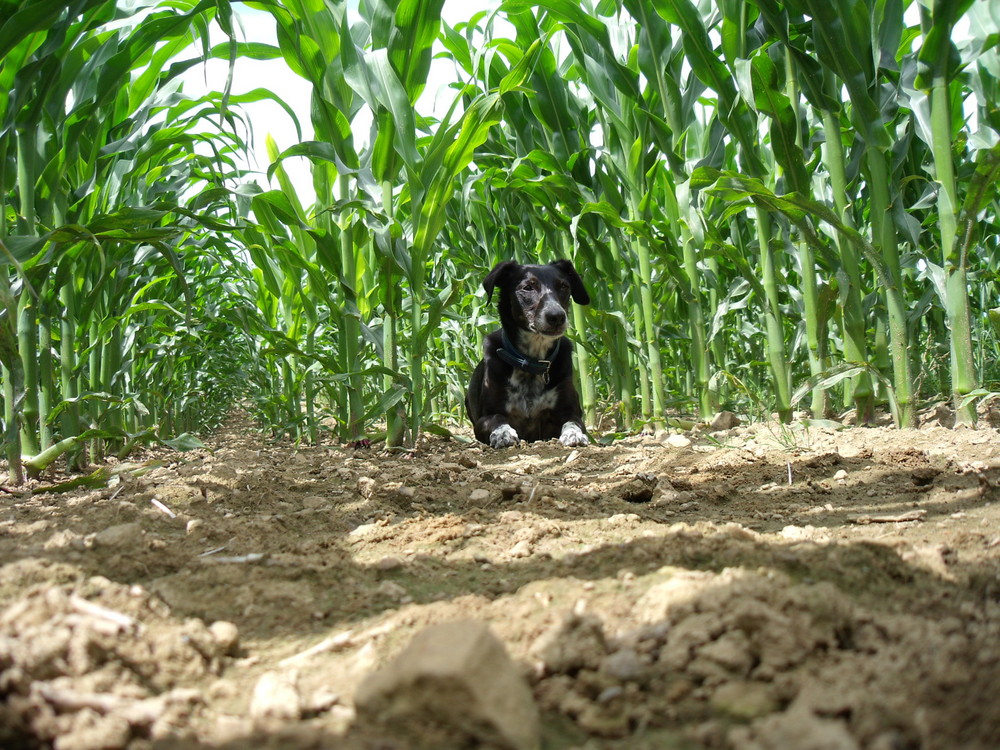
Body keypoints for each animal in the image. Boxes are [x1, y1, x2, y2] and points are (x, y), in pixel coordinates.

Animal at [464, 262, 588, 450]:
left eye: (564, 286)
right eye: (528, 287)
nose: (557, 316)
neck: (531, 362)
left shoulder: (570, 411)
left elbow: (573, 422)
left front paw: (574, 434)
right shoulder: (484, 418)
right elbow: (497, 418)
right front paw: (503, 433)